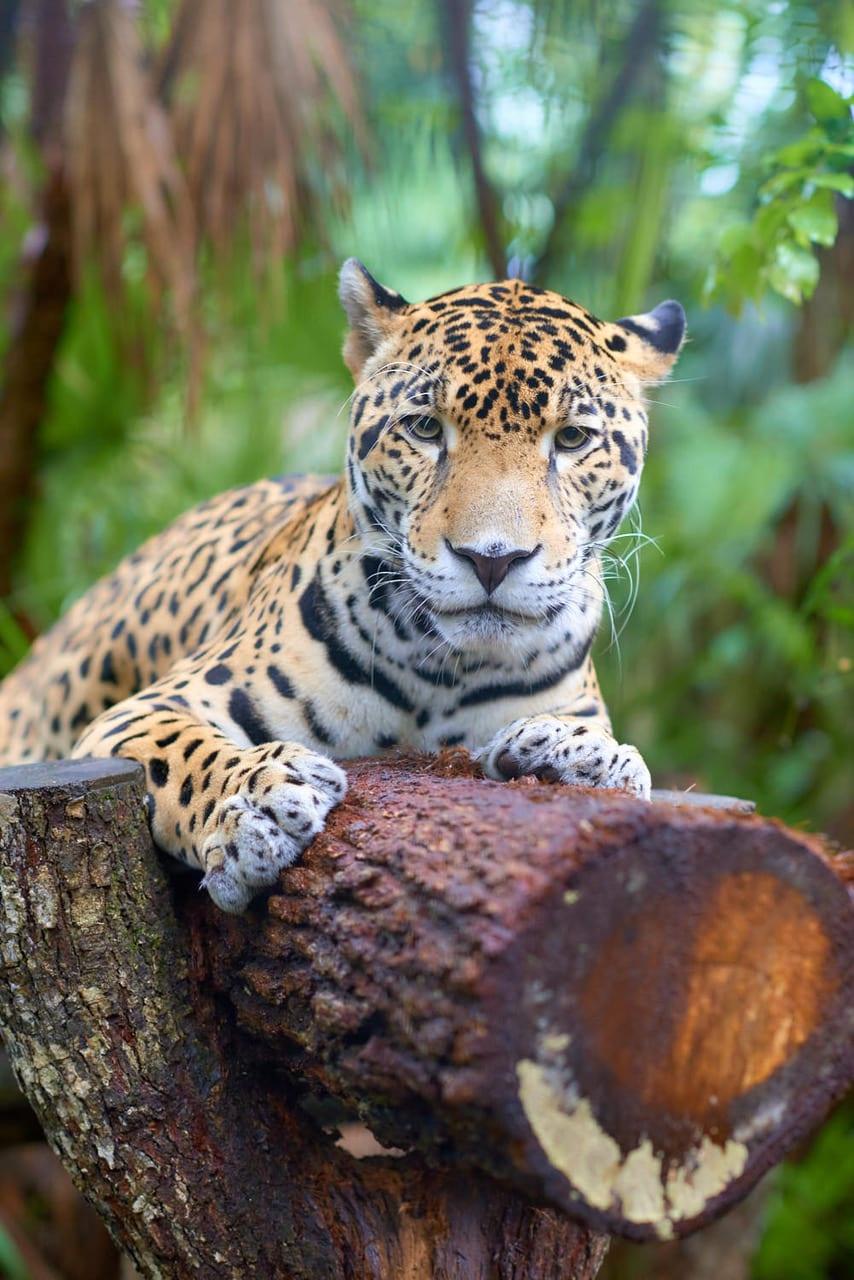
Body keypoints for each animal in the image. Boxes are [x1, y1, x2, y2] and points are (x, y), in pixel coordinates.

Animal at [0, 260, 685, 912]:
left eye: (572, 439)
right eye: (425, 428)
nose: (492, 559)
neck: (447, 673)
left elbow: (603, 746)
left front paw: (582, 753)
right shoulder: (149, 707)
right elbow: (185, 752)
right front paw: (257, 802)